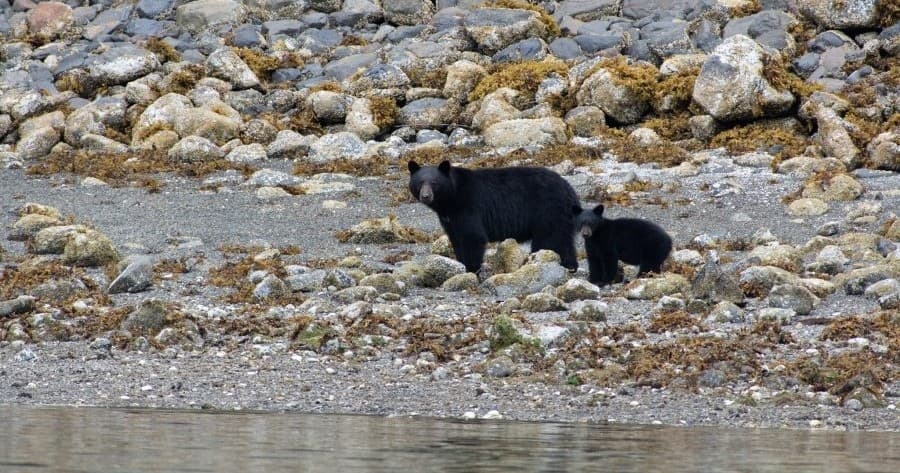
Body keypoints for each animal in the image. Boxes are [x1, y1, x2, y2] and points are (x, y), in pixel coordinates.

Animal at [408, 160, 579, 274]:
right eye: (420, 182)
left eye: (434, 182)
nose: (426, 196)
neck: (451, 199)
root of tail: (570, 190)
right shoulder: (450, 219)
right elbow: (456, 239)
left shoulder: (468, 207)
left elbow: (473, 237)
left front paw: (471, 270)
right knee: (563, 240)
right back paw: (570, 266)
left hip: (548, 210)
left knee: (548, 240)